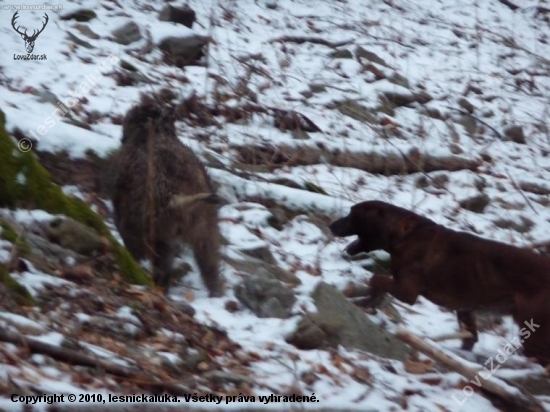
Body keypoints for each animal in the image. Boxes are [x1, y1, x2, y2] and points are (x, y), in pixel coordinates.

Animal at [332, 200, 550, 364]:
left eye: (351, 215)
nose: (331, 225)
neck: (406, 235)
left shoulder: (406, 291)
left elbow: (376, 280)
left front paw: (369, 301)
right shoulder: (465, 309)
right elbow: (470, 337)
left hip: (534, 332)